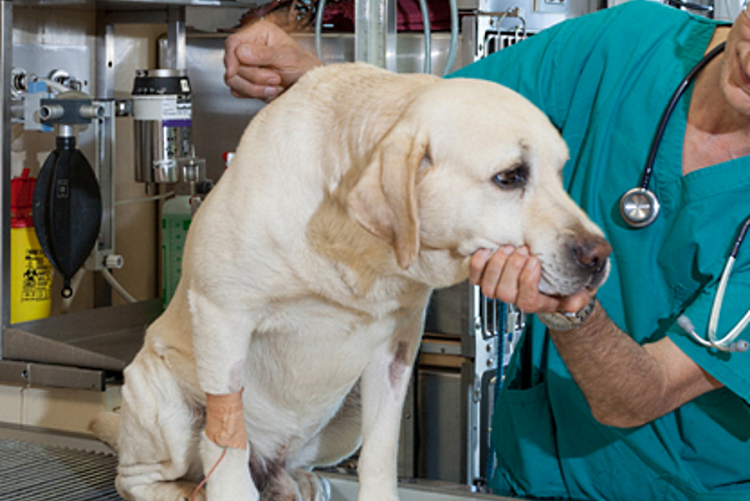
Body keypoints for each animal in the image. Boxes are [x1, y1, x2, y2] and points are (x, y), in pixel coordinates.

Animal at [92, 62, 612, 500]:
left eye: (561, 172)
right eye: (510, 177)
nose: (600, 255)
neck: (354, 243)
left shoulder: (395, 351)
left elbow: (380, 454)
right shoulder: (222, 315)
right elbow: (227, 445)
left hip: (344, 418)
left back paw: (298, 482)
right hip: (161, 396)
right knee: (145, 477)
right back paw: (188, 491)